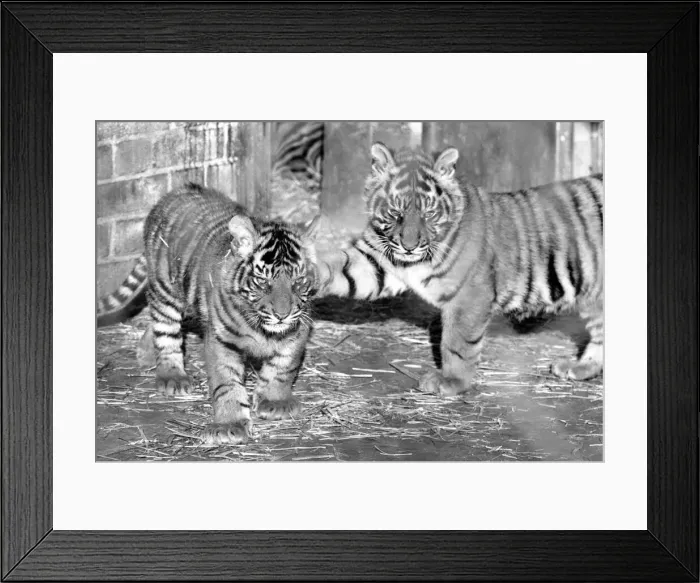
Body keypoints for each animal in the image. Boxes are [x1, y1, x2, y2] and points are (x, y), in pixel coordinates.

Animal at [97, 183, 320, 444]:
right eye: (263, 282)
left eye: (298, 282)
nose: (282, 314)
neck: (263, 329)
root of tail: (176, 192)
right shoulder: (221, 340)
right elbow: (227, 382)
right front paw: (229, 425)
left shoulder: (297, 330)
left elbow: (283, 368)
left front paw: (275, 402)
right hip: (165, 289)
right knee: (165, 331)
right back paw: (172, 376)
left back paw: (145, 355)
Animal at [315, 142, 603, 396]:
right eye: (396, 213)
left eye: (428, 214)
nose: (409, 246)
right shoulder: (376, 260)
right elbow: (342, 266)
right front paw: (308, 270)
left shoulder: (469, 296)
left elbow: (458, 344)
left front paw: (452, 382)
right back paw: (577, 367)